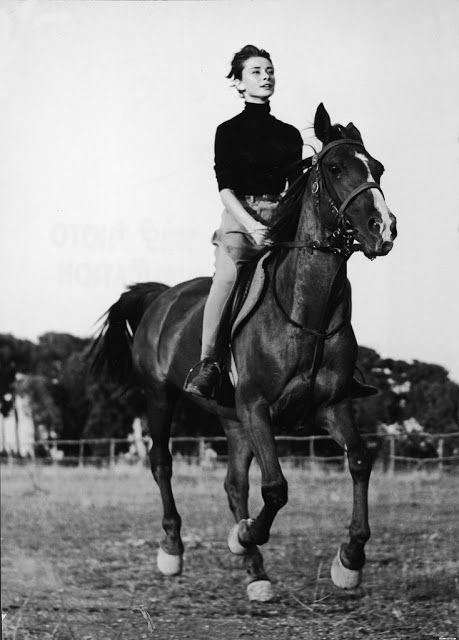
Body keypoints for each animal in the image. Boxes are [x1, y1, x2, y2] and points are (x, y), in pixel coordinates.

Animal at [90, 102, 398, 604]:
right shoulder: (257, 406)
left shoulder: (331, 405)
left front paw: (349, 561)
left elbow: (358, 461)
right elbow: (274, 489)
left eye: (379, 168)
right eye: (335, 168)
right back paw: (174, 550)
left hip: (232, 419)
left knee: (233, 482)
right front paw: (247, 533)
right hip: (161, 397)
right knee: (162, 464)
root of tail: (161, 295)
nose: (384, 229)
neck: (305, 309)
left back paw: (255, 573)